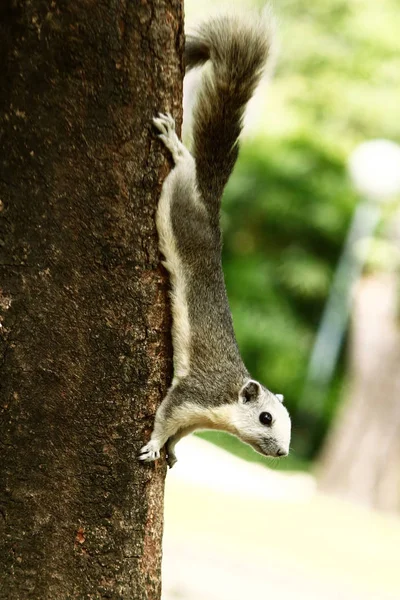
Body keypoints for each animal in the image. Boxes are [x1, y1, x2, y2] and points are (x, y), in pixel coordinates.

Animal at [140, 11, 290, 466]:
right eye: (264, 418)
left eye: (289, 424)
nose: (283, 452)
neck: (221, 408)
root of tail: (210, 197)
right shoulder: (191, 396)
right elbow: (164, 416)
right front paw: (153, 445)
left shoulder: (194, 417)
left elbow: (180, 434)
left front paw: (171, 451)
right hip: (177, 200)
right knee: (184, 164)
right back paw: (174, 143)